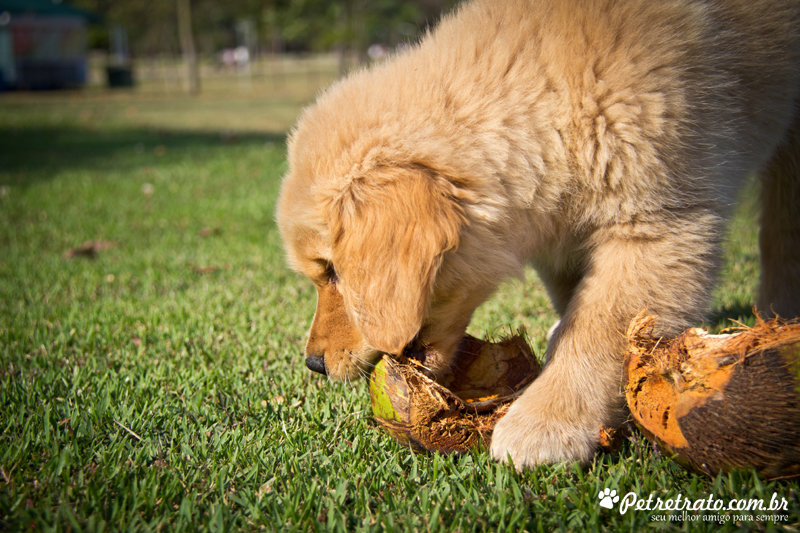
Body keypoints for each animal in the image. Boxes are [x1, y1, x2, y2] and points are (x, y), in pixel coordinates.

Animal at [278, 0, 800, 466]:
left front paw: (548, 422)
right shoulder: (563, 240)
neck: (553, 96)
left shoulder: (661, 222)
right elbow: (575, 303)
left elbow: (597, 326)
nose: (313, 364)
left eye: (333, 272)